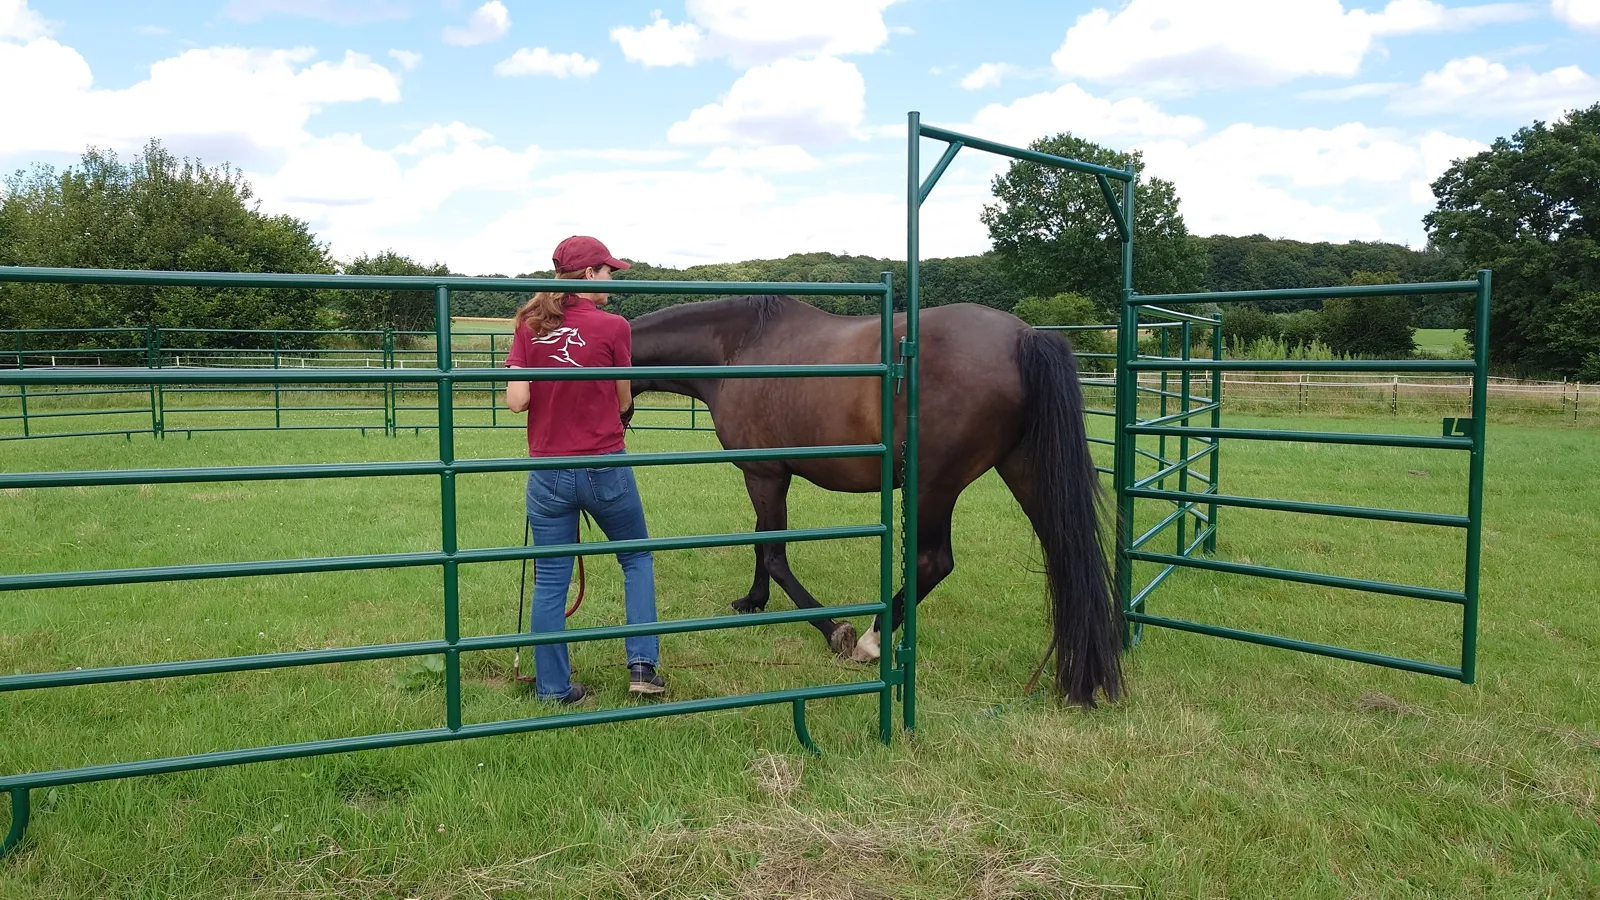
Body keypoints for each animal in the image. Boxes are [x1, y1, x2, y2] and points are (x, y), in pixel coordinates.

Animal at [628, 296, 1123, 706]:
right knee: (1067, 555)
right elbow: (760, 541)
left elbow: (773, 553)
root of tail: (1024, 337)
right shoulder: (765, 475)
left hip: (932, 487)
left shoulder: (765, 474)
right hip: (1027, 471)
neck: (738, 347)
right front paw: (752, 601)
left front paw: (836, 631)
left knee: (933, 563)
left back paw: (870, 642)